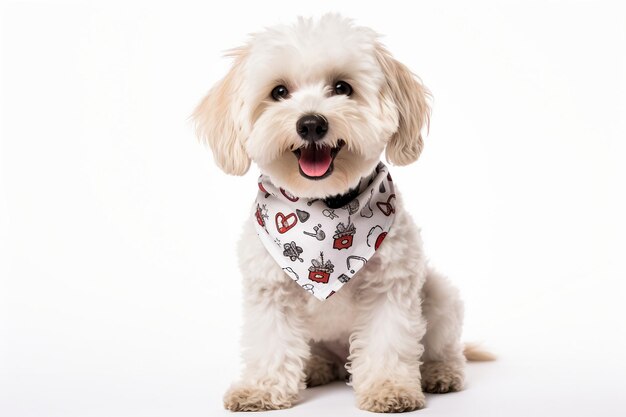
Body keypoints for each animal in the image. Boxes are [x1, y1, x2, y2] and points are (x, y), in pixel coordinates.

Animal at [190, 13, 488, 412]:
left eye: (342, 87)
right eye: (279, 92)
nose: (311, 123)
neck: (323, 205)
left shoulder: (389, 289)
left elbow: (388, 345)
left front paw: (390, 388)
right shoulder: (270, 293)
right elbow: (271, 344)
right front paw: (262, 389)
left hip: (439, 295)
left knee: (444, 348)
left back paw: (440, 372)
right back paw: (316, 368)